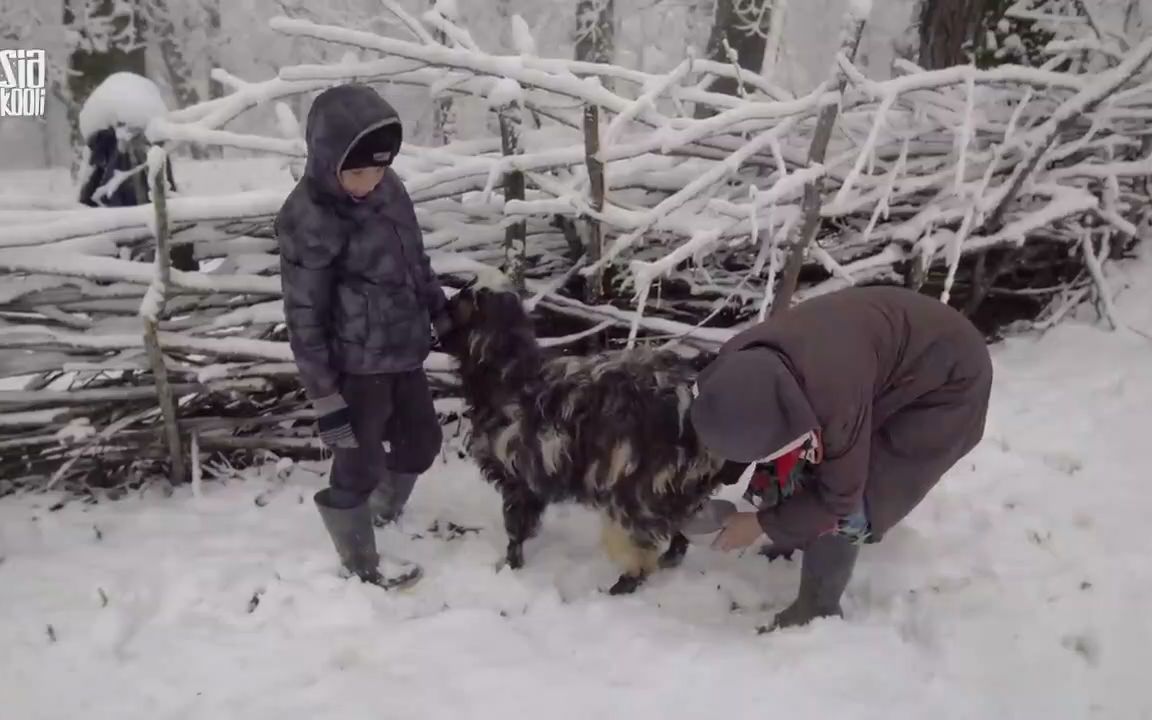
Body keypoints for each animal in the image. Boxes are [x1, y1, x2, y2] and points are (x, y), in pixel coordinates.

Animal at [435, 283, 741, 594]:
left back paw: (620, 587)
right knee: (678, 529)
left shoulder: (519, 475)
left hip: (635, 488)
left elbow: (516, 529)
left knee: (641, 547)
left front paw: (510, 568)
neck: (508, 375)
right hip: (673, 487)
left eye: (456, 304)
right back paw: (668, 559)